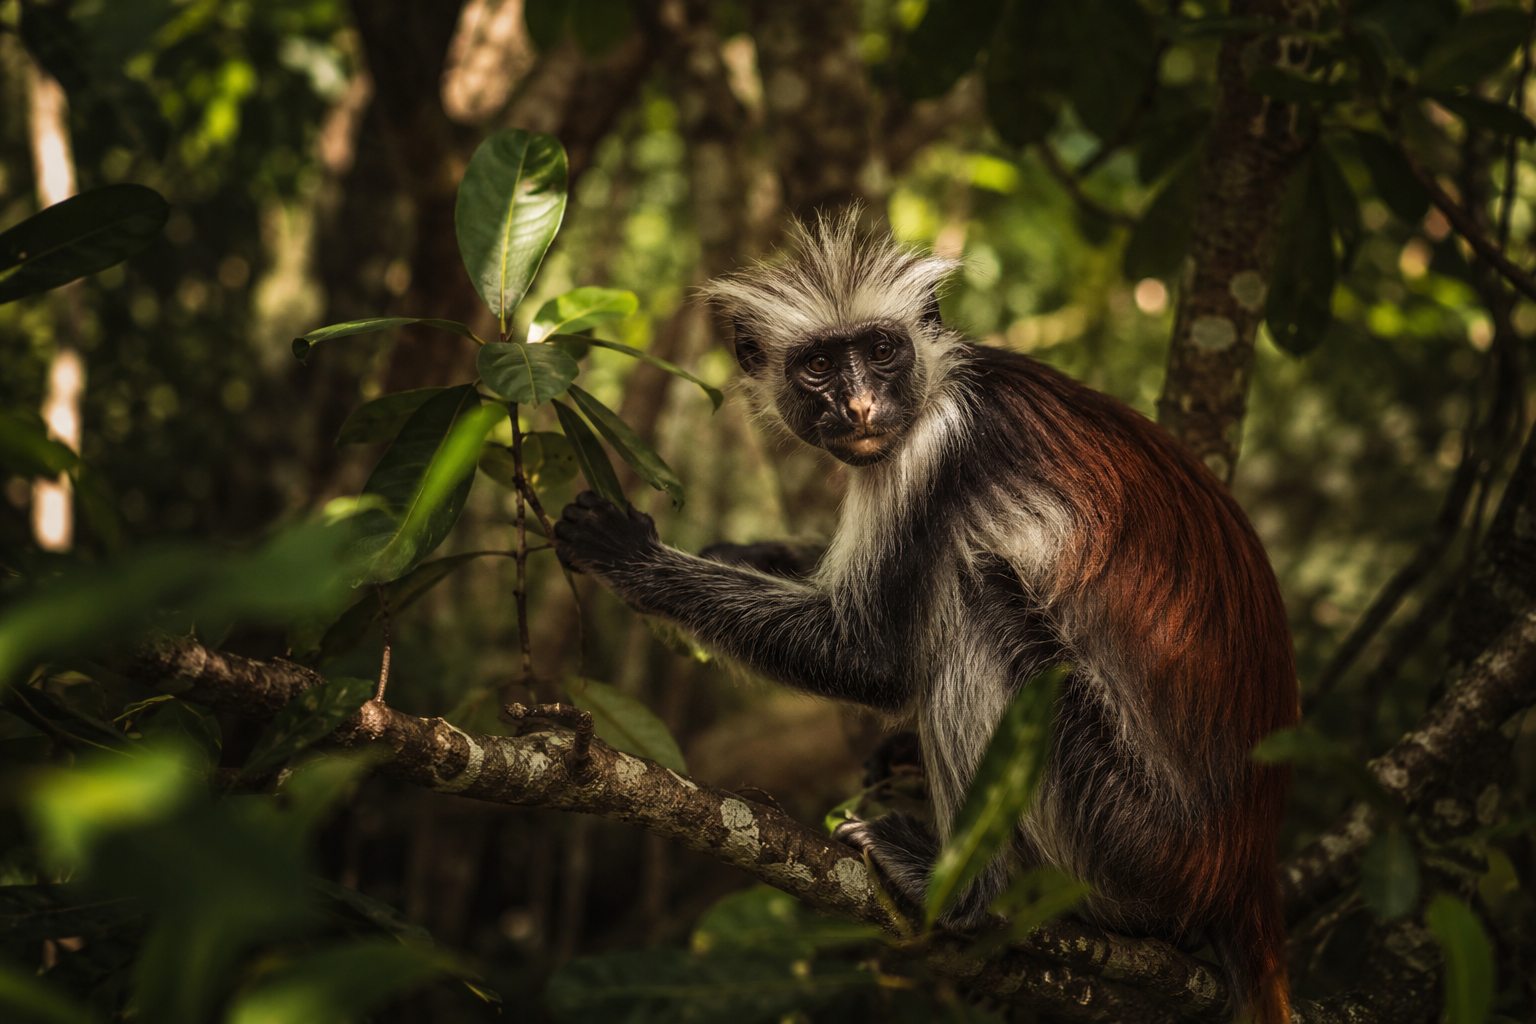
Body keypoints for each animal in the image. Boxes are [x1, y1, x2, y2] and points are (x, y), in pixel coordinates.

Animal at [553, 211, 1298, 1024]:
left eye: (882, 351)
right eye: (819, 365)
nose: (859, 406)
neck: (944, 382)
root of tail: (1241, 874)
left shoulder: (935, 444)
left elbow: (870, 657)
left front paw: (626, 555)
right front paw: (746, 551)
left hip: (1130, 841)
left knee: (973, 590)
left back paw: (965, 895)